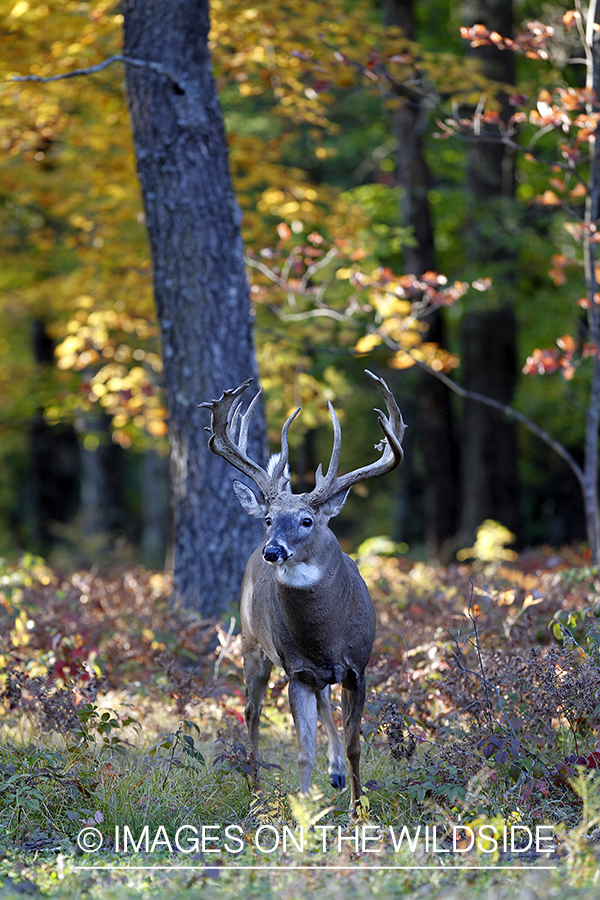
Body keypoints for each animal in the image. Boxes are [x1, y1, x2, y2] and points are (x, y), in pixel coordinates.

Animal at [199, 370, 406, 812]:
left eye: (307, 520)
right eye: (269, 519)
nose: (272, 550)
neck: (326, 634)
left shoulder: (357, 668)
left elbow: (354, 744)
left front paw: (357, 808)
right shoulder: (297, 669)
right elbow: (302, 750)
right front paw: (305, 808)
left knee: (323, 705)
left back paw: (337, 775)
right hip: (252, 645)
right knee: (251, 711)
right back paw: (256, 788)